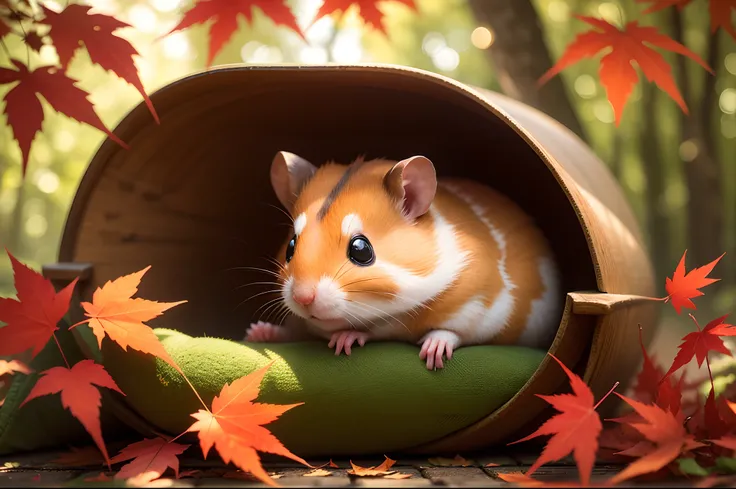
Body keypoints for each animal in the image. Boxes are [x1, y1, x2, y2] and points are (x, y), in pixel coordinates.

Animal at [246, 151, 564, 368]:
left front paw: (431, 354)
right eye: (291, 246)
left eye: (361, 249)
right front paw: (257, 332)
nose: (302, 298)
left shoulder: (484, 305)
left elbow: (453, 332)